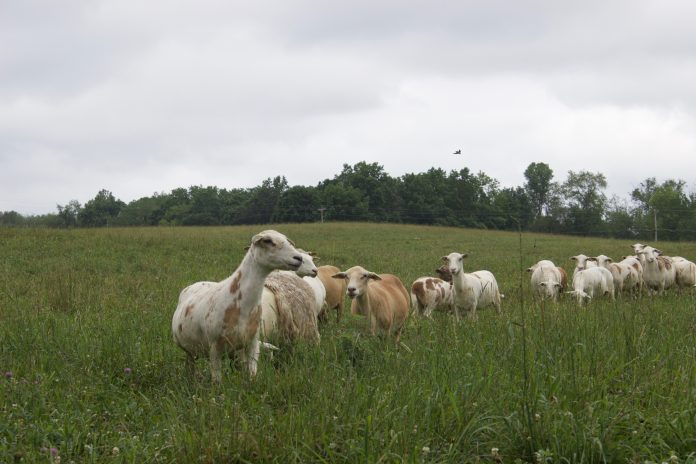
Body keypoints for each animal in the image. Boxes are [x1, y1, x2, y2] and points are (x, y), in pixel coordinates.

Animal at [172, 230, 303, 382]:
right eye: (268, 241)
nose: (299, 258)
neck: (242, 305)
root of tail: (196, 283)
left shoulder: (252, 342)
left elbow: (252, 374)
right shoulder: (214, 347)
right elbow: (217, 381)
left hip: (236, 349)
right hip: (189, 349)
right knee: (190, 365)